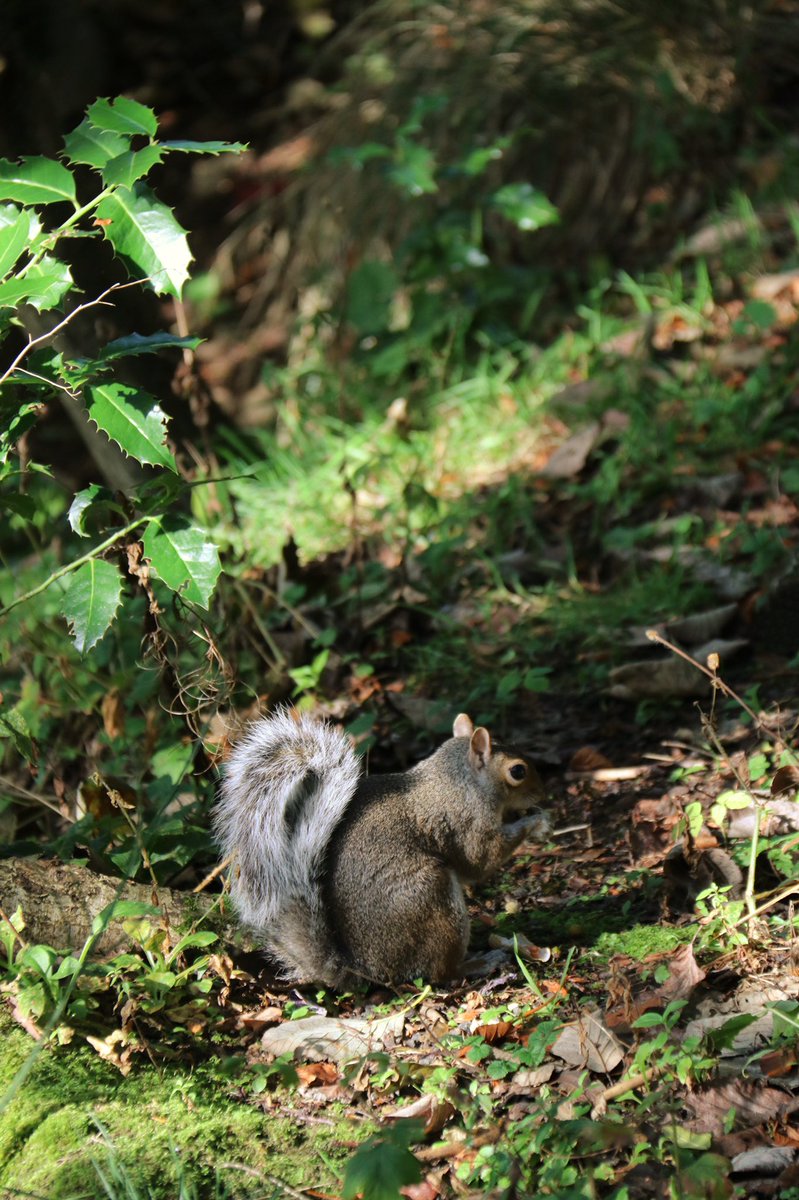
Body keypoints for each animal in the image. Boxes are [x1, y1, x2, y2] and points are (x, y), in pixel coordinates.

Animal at [214, 707, 549, 988]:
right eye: (517, 771)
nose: (543, 793)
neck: (462, 779)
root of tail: (365, 969)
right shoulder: (466, 822)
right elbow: (480, 860)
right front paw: (537, 821)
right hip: (431, 896)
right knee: (441, 973)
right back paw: (478, 964)